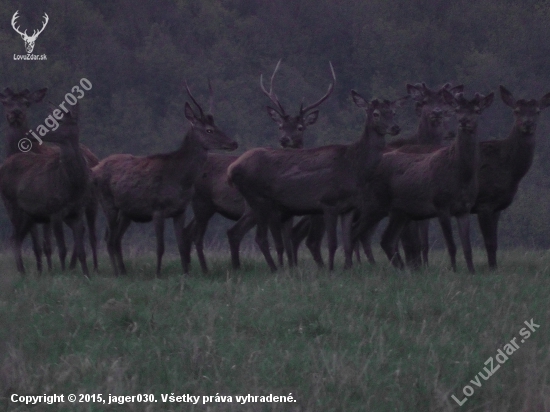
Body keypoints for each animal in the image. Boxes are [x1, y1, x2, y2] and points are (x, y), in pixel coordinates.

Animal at [0, 88, 100, 272]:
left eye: (26, 103)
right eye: (5, 102)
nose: (15, 113)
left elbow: (48, 245)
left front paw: (50, 270)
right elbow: (38, 246)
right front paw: (43, 270)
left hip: (92, 202)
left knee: (91, 235)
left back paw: (92, 268)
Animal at [92, 82, 237, 276]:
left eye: (217, 125)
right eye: (209, 130)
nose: (233, 143)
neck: (181, 179)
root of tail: (94, 169)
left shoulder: (180, 210)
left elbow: (181, 245)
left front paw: (186, 272)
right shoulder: (157, 209)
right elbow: (160, 247)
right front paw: (158, 273)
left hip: (126, 211)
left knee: (116, 238)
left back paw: (123, 271)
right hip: (107, 203)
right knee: (109, 238)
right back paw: (116, 272)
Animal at [183, 60, 336, 274]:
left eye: (300, 127)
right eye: (280, 126)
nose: (284, 139)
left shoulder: (286, 213)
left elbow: (287, 241)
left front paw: (291, 267)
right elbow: (281, 242)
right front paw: (285, 268)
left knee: (189, 232)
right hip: (213, 204)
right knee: (220, 233)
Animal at [229, 89, 410, 270]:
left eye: (394, 112)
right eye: (376, 113)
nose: (395, 127)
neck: (353, 167)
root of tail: (232, 168)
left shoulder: (349, 207)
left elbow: (348, 243)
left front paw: (348, 269)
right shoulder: (328, 202)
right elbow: (332, 243)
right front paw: (330, 269)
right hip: (258, 199)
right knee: (259, 237)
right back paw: (273, 269)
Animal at [358, 89, 496, 274]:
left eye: (477, 110)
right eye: (457, 109)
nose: (463, 121)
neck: (461, 174)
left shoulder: (464, 209)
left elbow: (467, 248)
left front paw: (472, 271)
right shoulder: (441, 204)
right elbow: (451, 245)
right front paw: (453, 270)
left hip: (398, 211)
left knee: (386, 239)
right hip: (373, 203)